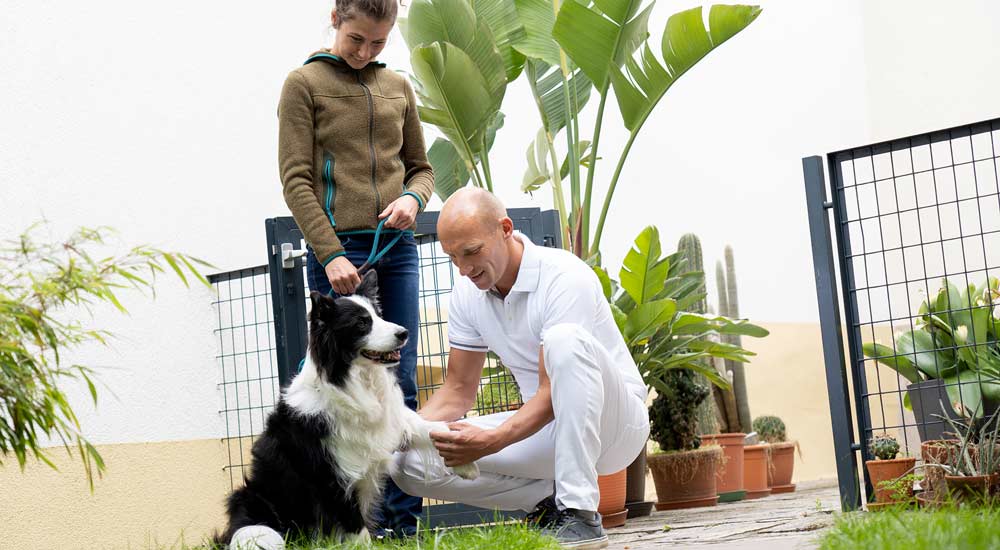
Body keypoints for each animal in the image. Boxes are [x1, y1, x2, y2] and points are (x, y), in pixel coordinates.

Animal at [216, 272, 480, 550]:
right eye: (362, 323)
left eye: (378, 315)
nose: (404, 333)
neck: (351, 380)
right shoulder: (330, 475)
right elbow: (355, 525)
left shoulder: (392, 421)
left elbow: (429, 426)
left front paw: (465, 462)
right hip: (256, 513)